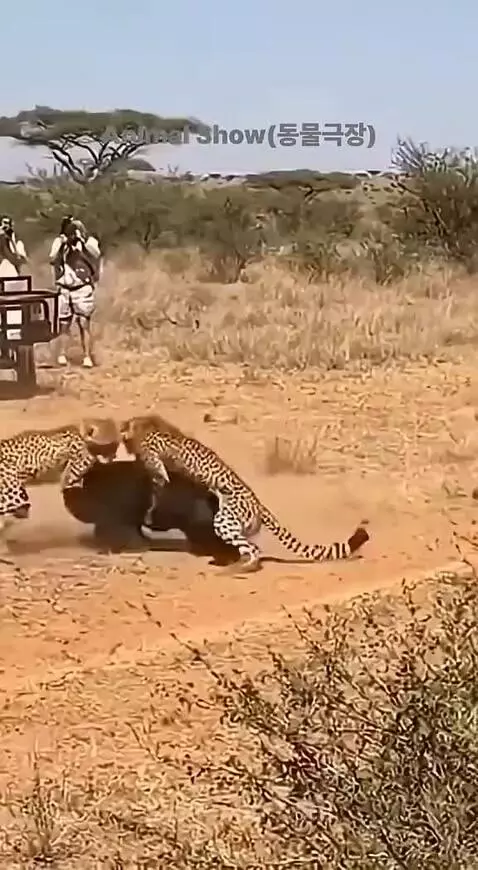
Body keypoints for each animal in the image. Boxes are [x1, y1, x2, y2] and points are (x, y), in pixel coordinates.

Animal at [120, 414, 370, 572]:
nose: (122, 431)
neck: (146, 426)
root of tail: (258, 503)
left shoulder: (156, 465)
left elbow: (158, 480)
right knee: (246, 548)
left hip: (224, 520)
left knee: (253, 549)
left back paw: (240, 568)